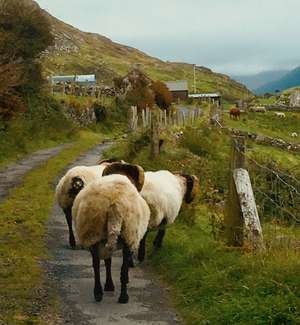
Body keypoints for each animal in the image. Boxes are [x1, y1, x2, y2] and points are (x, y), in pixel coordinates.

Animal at [72, 163, 150, 302]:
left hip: (94, 232)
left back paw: (98, 292)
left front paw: (109, 285)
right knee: (122, 268)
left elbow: (107, 262)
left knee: (96, 264)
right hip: (128, 234)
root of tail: (115, 204)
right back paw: (123, 296)